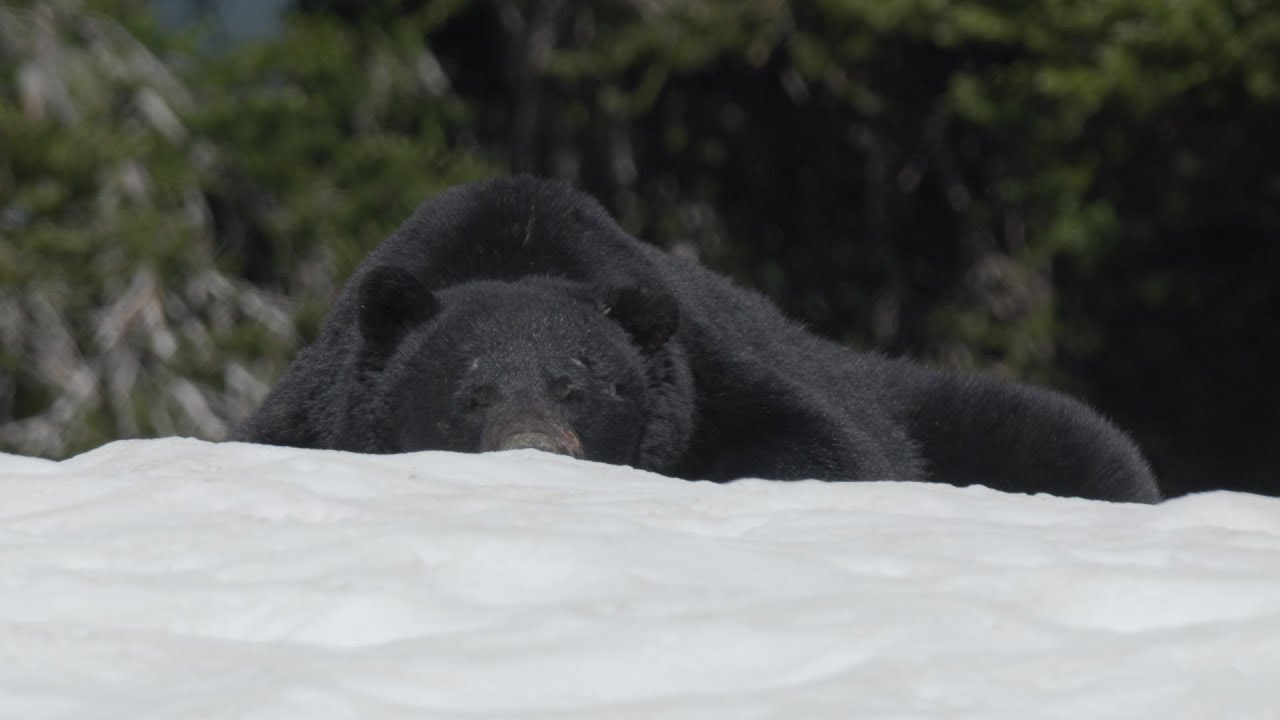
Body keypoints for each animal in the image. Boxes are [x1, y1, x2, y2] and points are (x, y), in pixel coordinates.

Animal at [233, 175, 1161, 503]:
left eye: (580, 385)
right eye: (469, 393)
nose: (537, 448)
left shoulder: (720, 375)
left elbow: (825, 447)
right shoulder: (308, 411)